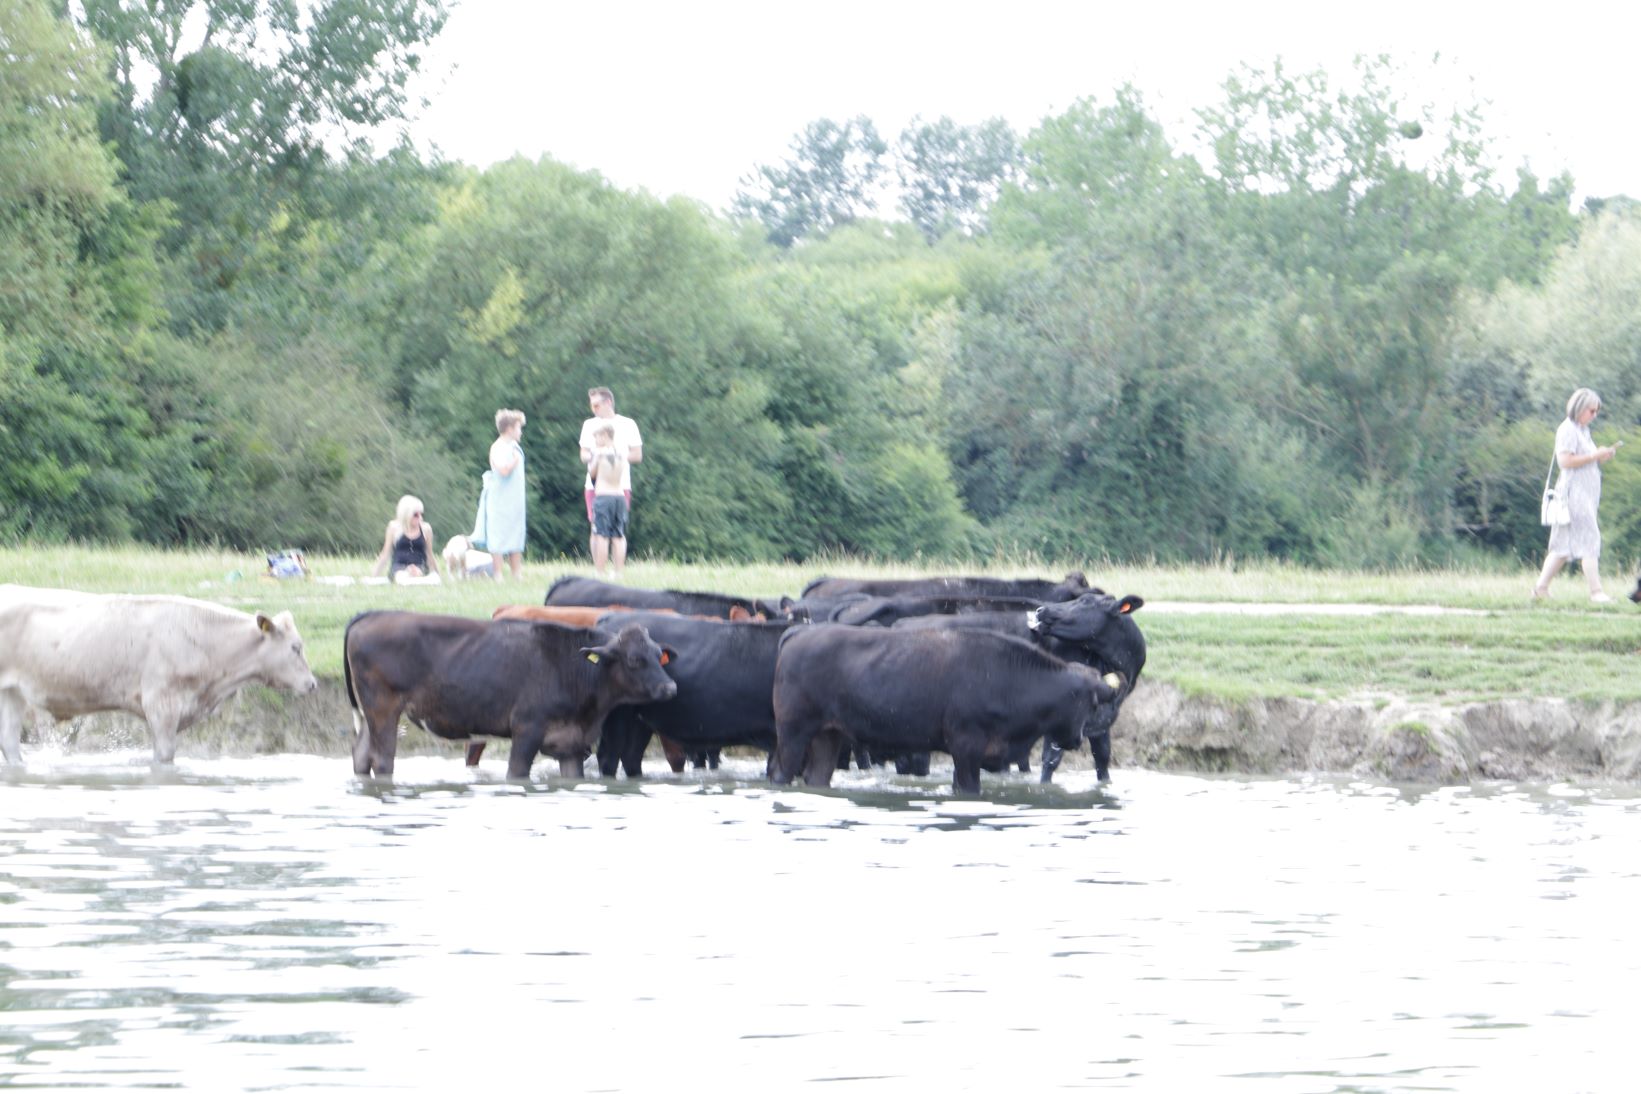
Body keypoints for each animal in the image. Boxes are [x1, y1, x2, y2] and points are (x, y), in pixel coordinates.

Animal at [0, 585, 318, 765]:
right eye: (295, 647)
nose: (313, 683)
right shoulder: (161, 702)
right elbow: (165, 756)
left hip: (11, 694)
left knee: (10, 743)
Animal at [343, 611, 677, 779]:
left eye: (658, 654)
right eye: (634, 660)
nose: (670, 688)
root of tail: (370, 616)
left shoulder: (571, 744)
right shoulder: (527, 730)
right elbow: (516, 773)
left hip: (369, 712)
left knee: (361, 755)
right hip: (383, 707)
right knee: (382, 760)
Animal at [770, 624, 1123, 794]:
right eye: (1091, 702)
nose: (1078, 740)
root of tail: (800, 632)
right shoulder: (966, 747)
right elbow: (968, 788)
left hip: (827, 735)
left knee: (816, 776)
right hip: (793, 733)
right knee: (781, 772)